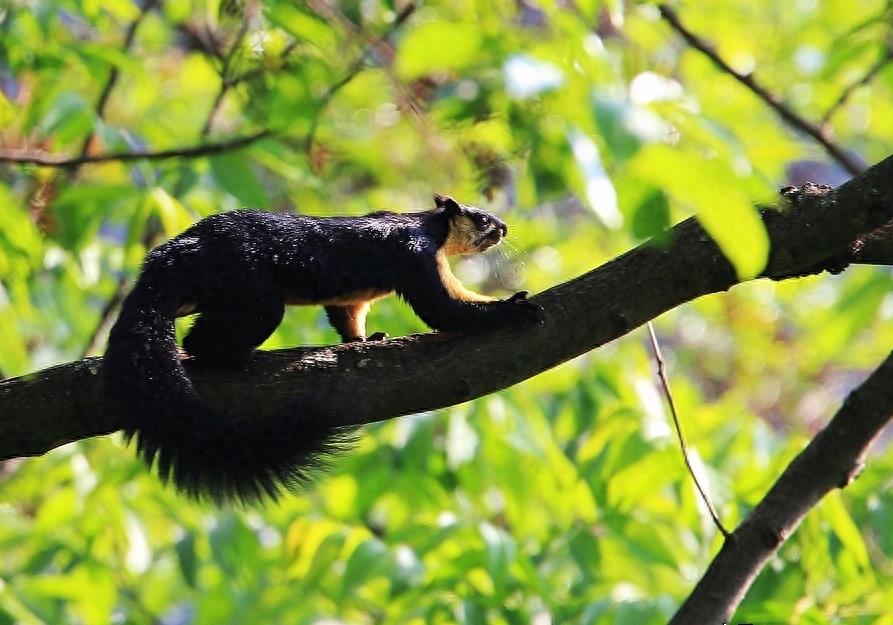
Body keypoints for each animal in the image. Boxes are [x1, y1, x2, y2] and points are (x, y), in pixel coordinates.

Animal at [101, 194, 540, 502]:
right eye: (480, 217)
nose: (504, 227)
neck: (428, 226)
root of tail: (177, 253)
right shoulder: (416, 255)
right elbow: (446, 308)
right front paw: (512, 307)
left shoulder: (352, 298)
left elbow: (348, 315)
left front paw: (364, 339)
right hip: (254, 295)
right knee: (204, 341)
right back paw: (234, 358)